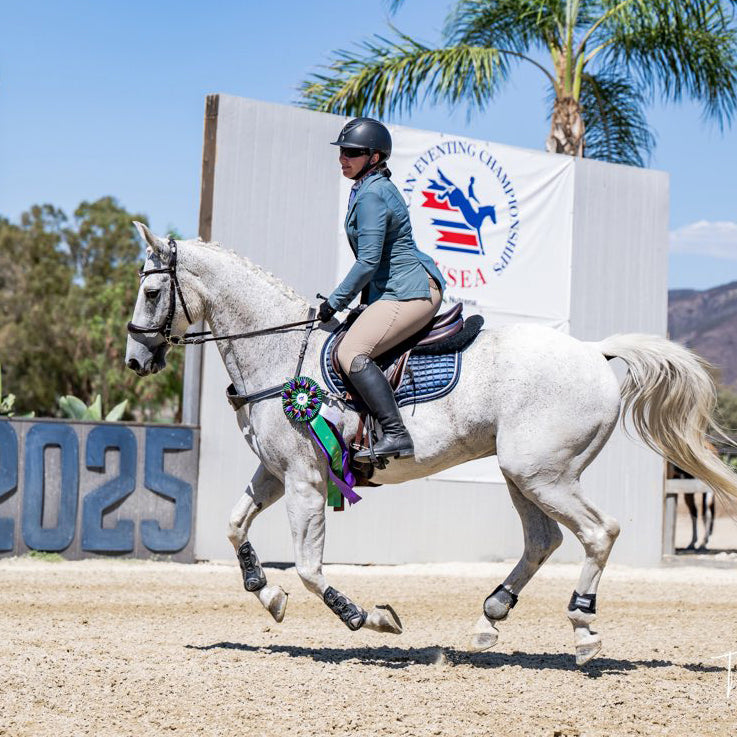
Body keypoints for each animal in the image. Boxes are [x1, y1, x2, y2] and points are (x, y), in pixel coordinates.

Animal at [124, 222, 737, 666]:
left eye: (152, 292)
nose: (135, 361)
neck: (279, 354)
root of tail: (593, 351)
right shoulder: (276, 472)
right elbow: (234, 525)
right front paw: (265, 592)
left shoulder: (303, 480)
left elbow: (310, 568)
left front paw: (367, 617)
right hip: (524, 473)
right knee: (542, 540)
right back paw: (490, 617)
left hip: (543, 472)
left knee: (598, 532)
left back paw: (583, 628)